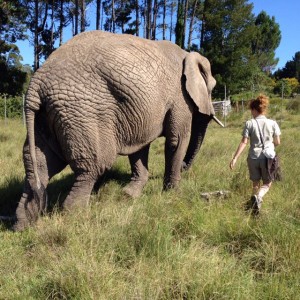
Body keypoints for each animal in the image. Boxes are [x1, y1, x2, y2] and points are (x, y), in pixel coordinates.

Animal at [13, 30, 223, 231]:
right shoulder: (180, 97)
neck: (187, 55)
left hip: (46, 116)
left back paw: (23, 226)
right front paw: (173, 194)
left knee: (39, 166)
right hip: (81, 113)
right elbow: (176, 140)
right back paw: (76, 218)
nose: (185, 167)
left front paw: (130, 195)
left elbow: (140, 146)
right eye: (212, 87)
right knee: (93, 165)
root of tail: (35, 85)